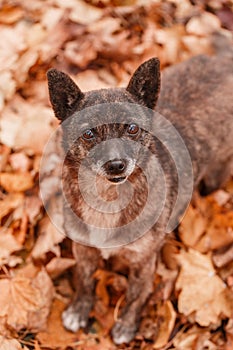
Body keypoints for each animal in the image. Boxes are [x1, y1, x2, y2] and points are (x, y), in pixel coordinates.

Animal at [46, 47, 233, 344]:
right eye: (88, 133)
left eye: (132, 128)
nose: (115, 164)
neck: (108, 198)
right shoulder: (83, 250)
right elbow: (84, 281)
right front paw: (78, 310)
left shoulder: (143, 263)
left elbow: (135, 296)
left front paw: (125, 326)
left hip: (214, 179)